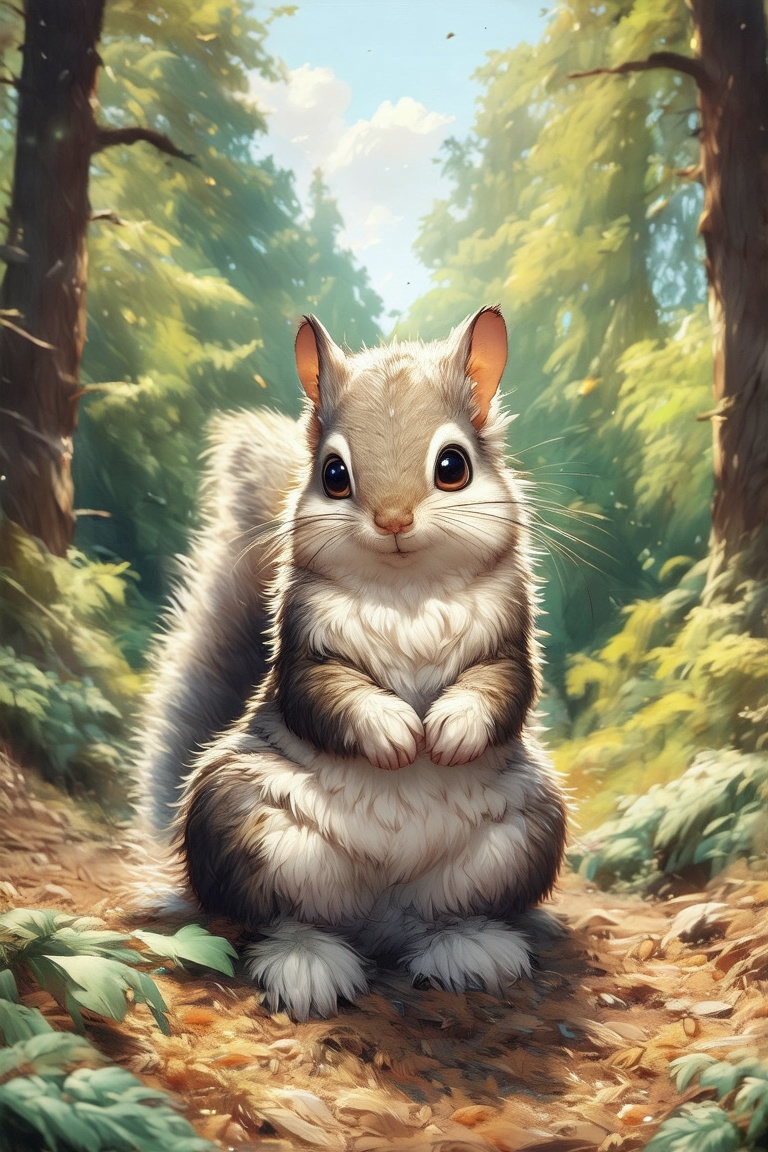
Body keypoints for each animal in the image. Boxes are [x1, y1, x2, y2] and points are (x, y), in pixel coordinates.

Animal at [136, 306, 568, 1021]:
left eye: (454, 465)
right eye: (333, 474)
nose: (392, 519)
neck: (407, 590)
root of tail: (378, 922)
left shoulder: (510, 636)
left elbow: (503, 688)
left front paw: (450, 730)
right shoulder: (303, 645)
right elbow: (323, 695)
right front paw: (393, 732)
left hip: (525, 834)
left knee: (447, 916)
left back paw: (467, 950)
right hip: (240, 822)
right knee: (280, 919)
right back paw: (307, 963)